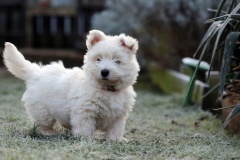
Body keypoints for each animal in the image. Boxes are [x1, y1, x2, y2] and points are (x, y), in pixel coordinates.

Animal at [2, 29, 140, 141]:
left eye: (117, 61)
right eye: (98, 59)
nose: (104, 71)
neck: (106, 89)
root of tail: (36, 72)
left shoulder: (118, 115)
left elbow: (116, 129)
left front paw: (116, 140)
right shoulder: (85, 111)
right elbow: (84, 126)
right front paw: (84, 139)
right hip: (42, 111)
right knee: (42, 124)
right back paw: (49, 132)